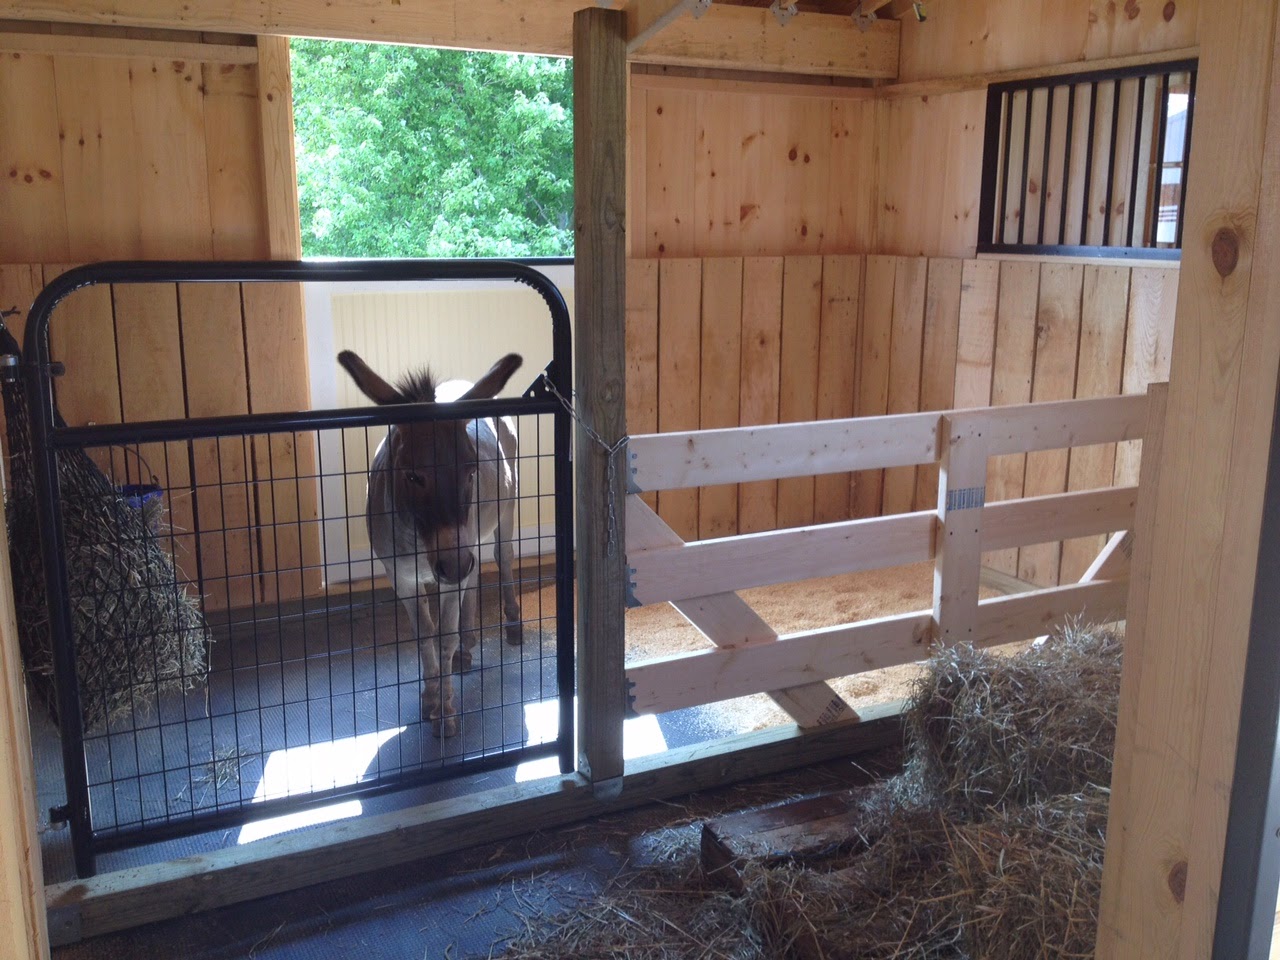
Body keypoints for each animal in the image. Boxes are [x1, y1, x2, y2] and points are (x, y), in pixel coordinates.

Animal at [338, 350, 524, 738]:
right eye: (413, 476)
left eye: (471, 470)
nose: (452, 565)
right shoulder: (402, 578)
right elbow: (424, 635)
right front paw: (430, 698)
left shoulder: (455, 560)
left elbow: (444, 636)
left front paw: (446, 711)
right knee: (474, 574)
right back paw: (466, 648)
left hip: (505, 509)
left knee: (501, 556)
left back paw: (512, 625)